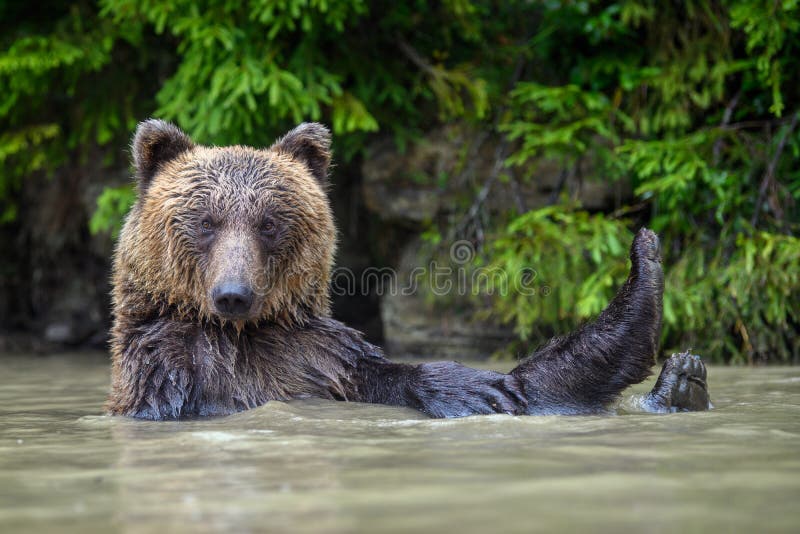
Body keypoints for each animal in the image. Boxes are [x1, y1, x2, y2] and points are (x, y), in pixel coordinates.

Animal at [104, 121, 708, 422]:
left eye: (269, 222)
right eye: (205, 221)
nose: (234, 295)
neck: (242, 336)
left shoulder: (321, 357)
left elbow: (491, 386)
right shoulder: (173, 364)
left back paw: (682, 381)